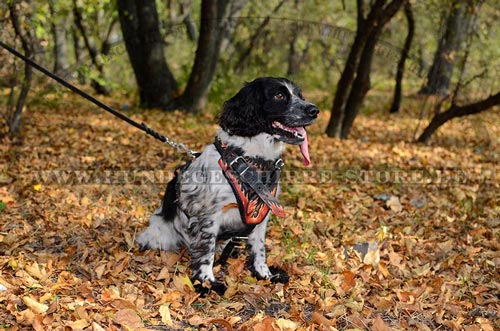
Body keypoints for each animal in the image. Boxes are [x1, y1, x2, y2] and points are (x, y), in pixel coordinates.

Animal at [137, 78, 318, 296]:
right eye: (280, 95)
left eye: (300, 95)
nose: (314, 110)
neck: (251, 161)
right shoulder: (209, 216)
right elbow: (206, 251)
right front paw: (206, 282)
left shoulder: (262, 216)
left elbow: (259, 248)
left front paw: (264, 274)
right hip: (161, 235)